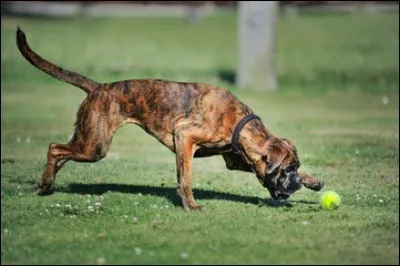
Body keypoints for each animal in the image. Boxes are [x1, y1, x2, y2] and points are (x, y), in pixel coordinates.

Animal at [15, 27, 324, 210]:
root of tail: (99, 87)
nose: (295, 184)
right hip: (95, 146)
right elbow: (184, 177)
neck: (239, 122)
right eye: (286, 170)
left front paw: (313, 181)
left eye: (295, 168)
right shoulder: (184, 138)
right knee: (54, 148)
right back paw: (45, 184)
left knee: (61, 152)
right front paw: (190, 206)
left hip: (86, 139)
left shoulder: (236, 160)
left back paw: (45, 183)